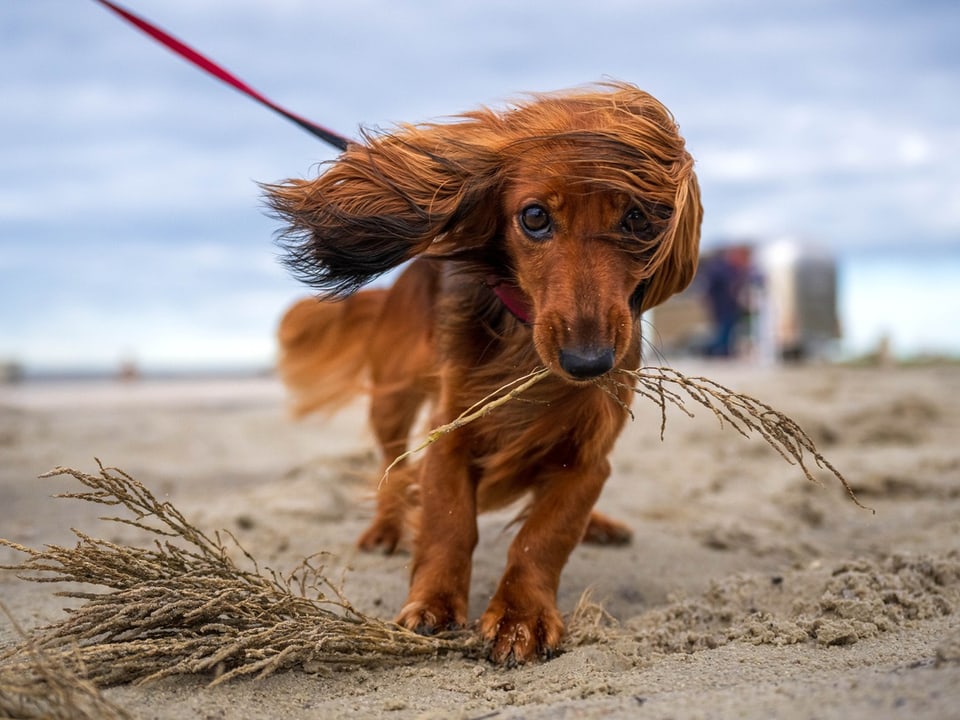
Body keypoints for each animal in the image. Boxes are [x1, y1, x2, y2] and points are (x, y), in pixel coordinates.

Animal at [266, 83, 700, 664]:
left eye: (637, 220)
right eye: (534, 217)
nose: (588, 364)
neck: (527, 350)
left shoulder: (589, 458)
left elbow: (543, 537)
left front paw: (521, 616)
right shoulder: (451, 435)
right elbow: (450, 523)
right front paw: (434, 602)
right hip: (393, 400)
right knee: (392, 468)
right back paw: (386, 526)